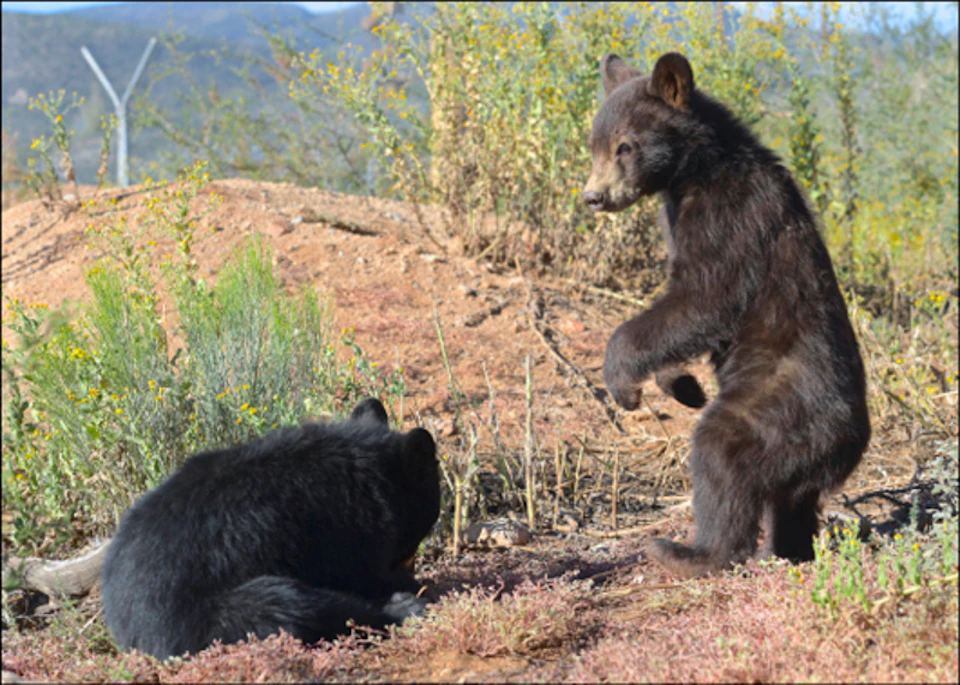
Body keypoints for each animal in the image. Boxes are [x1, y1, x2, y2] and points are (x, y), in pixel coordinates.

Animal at [101, 398, 440, 659]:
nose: (410, 563)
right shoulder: (338, 529)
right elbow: (358, 572)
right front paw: (407, 587)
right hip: (201, 614)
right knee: (284, 606)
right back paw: (404, 609)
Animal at [582, 52, 870, 578]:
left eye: (625, 146)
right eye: (593, 145)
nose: (593, 197)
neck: (695, 172)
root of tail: (850, 446)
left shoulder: (730, 217)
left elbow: (704, 298)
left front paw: (623, 383)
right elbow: (688, 324)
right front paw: (681, 383)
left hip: (780, 407)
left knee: (722, 455)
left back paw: (690, 552)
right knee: (790, 501)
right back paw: (783, 549)